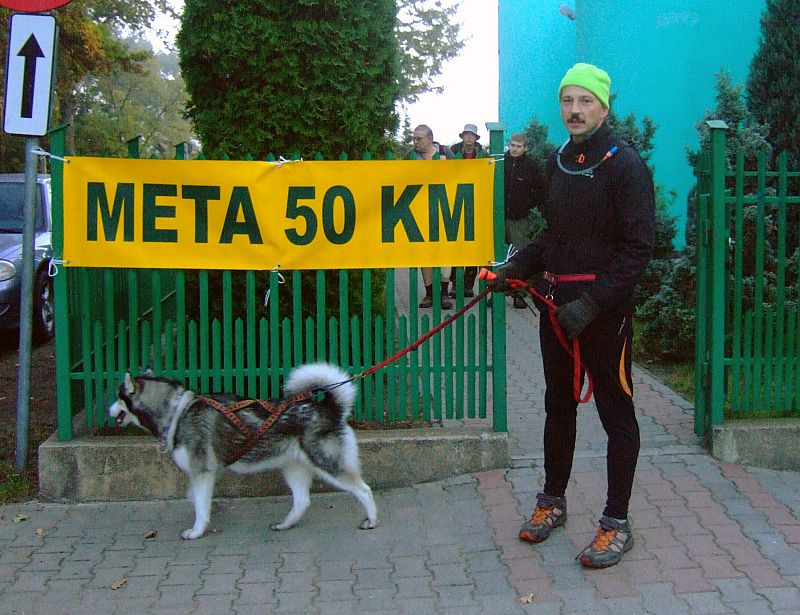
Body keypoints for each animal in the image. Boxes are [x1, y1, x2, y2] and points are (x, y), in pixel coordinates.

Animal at [108, 362, 378, 539]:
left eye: (118, 396)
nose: (109, 410)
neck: (178, 412)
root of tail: (331, 409)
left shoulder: (202, 471)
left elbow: (200, 506)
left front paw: (196, 531)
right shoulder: (208, 472)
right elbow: (196, 498)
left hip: (328, 464)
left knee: (364, 490)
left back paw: (372, 521)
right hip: (293, 468)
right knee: (302, 501)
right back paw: (284, 525)